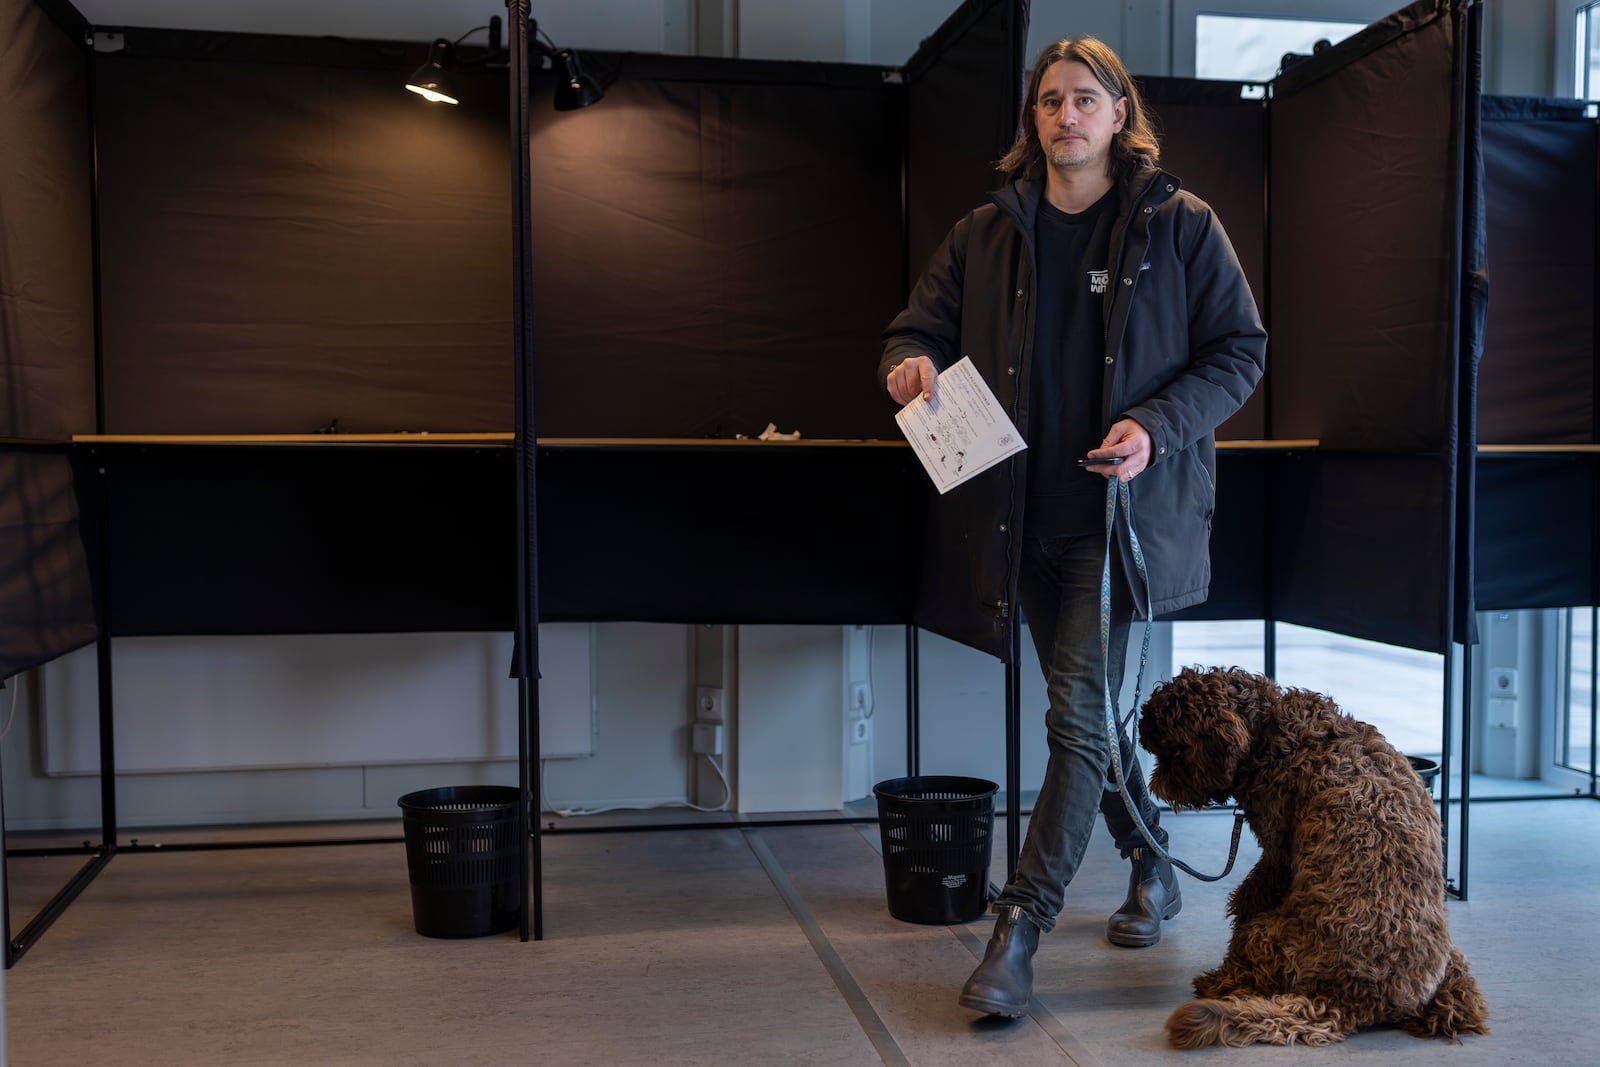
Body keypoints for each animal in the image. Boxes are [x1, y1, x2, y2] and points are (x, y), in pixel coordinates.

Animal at [1139, 668, 1484, 1049]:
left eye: (1172, 742)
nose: (1139, 721)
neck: (1268, 729)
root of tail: (1355, 1003)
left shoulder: (1277, 851)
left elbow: (1252, 894)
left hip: (1263, 935)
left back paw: (1219, 982)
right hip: (1453, 961)